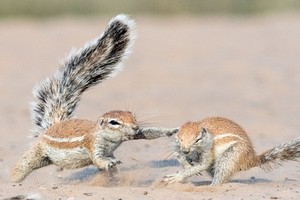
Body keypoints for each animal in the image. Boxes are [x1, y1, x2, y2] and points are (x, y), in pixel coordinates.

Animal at [11, 14, 178, 183]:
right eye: (114, 122)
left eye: (133, 116)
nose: (135, 127)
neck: (108, 138)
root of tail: (52, 127)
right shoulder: (92, 145)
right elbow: (98, 158)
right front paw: (109, 162)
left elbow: (149, 134)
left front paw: (170, 130)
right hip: (37, 152)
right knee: (23, 165)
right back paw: (13, 181)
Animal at [163, 116, 300, 185]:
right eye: (179, 139)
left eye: (198, 139)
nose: (185, 151)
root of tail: (250, 159)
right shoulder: (178, 148)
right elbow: (179, 156)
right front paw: (186, 165)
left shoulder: (208, 152)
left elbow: (203, 165)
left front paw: (178, 177)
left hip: (231, 156)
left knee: (220, 176)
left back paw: (211, 186)